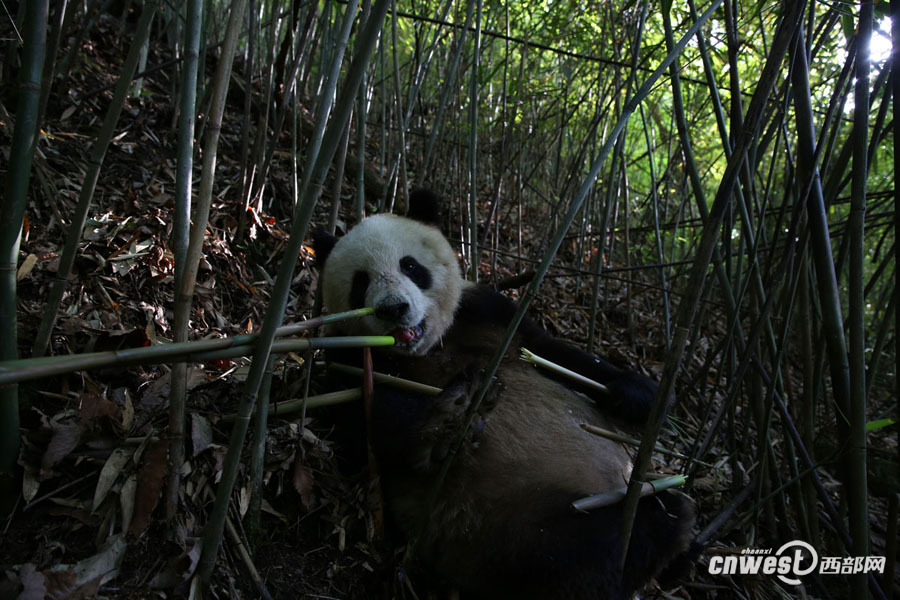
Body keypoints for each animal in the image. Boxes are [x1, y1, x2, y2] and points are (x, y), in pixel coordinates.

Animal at [312, 189, 696, 600]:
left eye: (411, 266)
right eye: (361, 281)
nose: (394, 308)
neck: (430, 348)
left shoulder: (487, 312)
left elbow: (554, 354)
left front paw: (640, 396)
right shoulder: (346, 353)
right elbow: (365, 420)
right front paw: (448, 421)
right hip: (507, 531)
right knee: (587, 555)